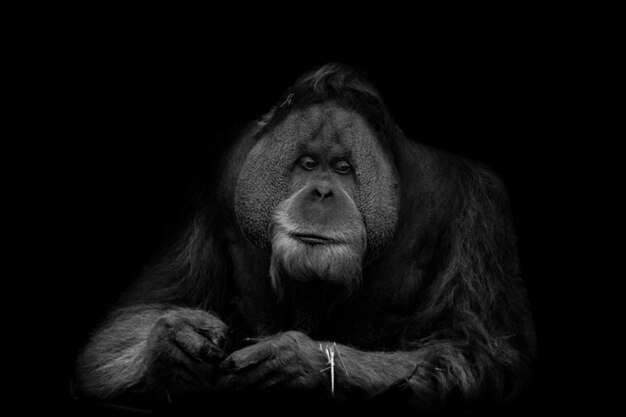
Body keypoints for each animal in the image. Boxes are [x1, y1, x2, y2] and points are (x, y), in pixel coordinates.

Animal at [73, 63, 532, 412]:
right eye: (309, 164)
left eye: (343, 168)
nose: (322, 192)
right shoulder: (207, 183)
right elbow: (136, 315)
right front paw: (174, 342)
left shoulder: (477, 207)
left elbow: (473, 352)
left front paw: (298, 360)